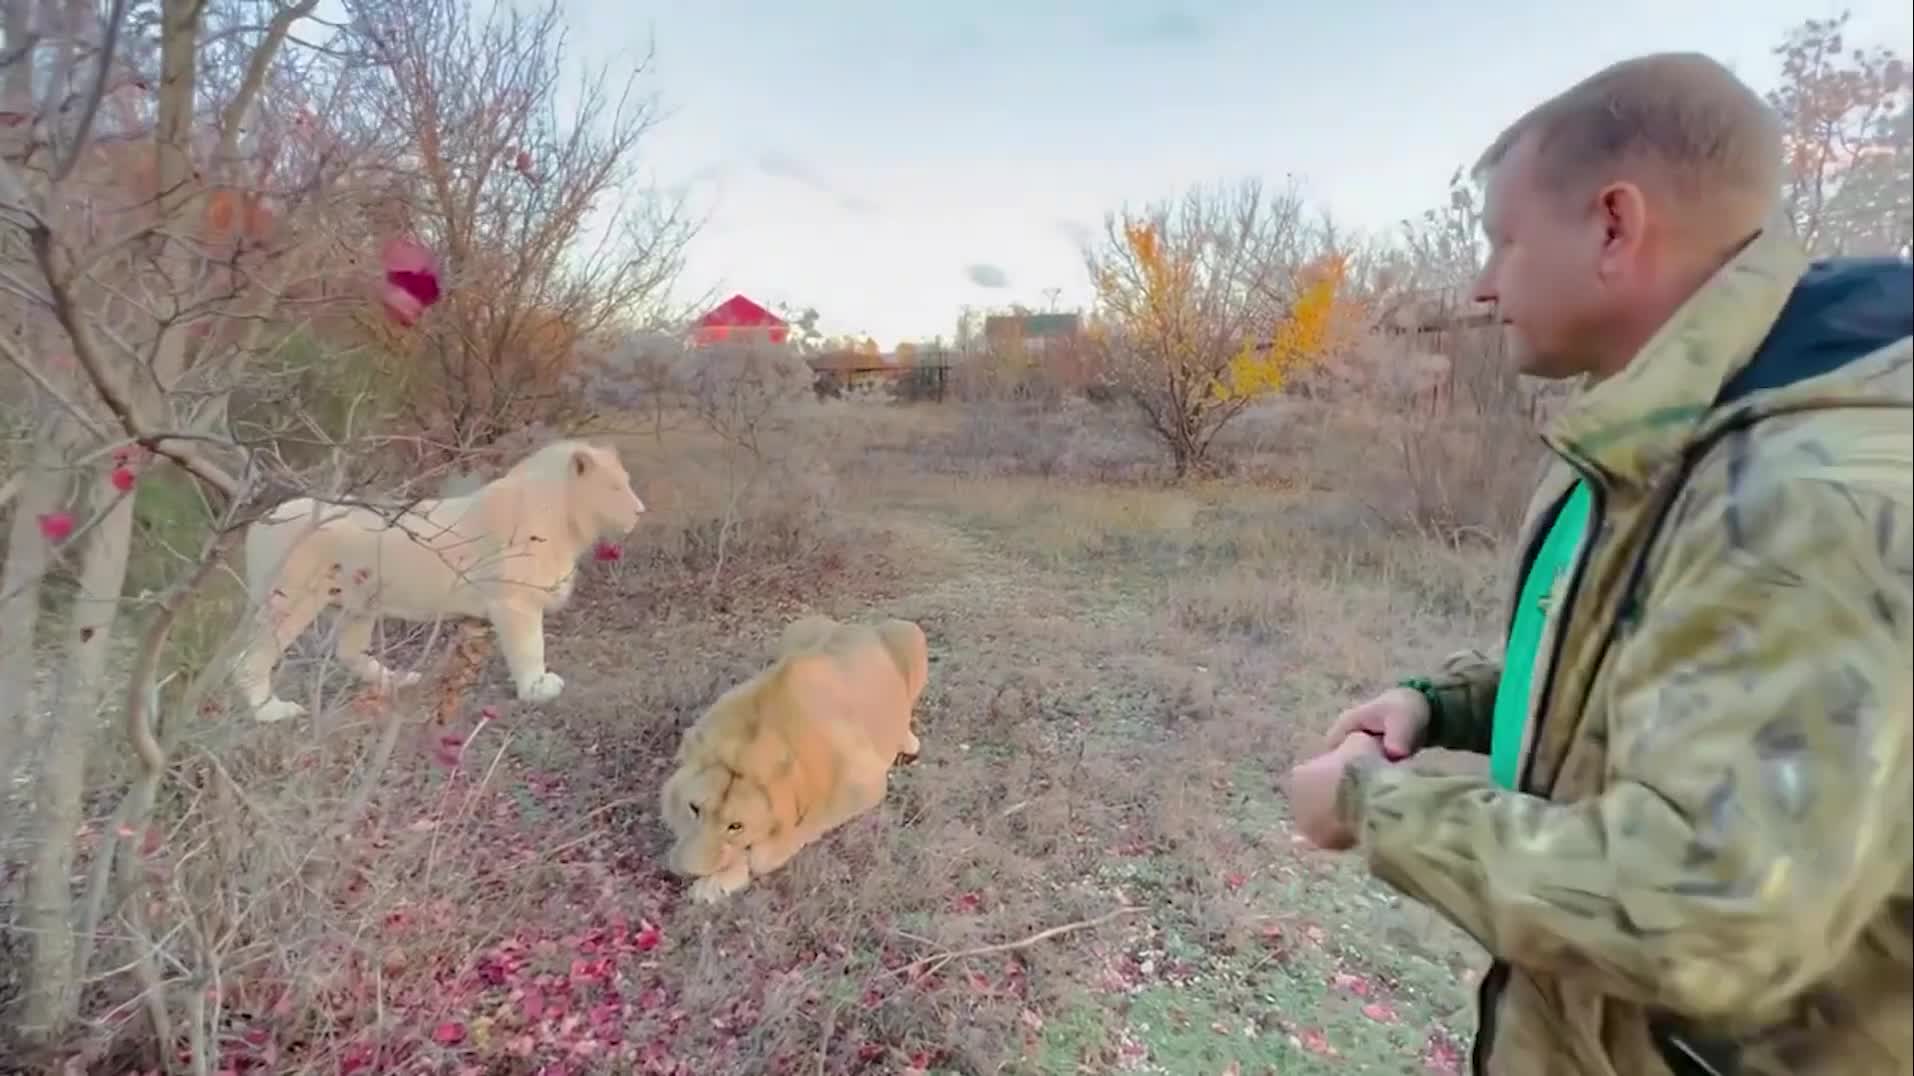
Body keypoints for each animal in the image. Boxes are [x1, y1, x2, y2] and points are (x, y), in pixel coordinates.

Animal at [227, 436, 646, 719]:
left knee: (348, 652)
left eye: (627, 481)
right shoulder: (514, 603)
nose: (641, 510)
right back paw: (271, 711)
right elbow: (531, 648)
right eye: (615, 486)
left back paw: (398, 680)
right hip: (290, 599)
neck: (566, 523)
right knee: (248, 661)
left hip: (359, 604)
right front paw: (538, 689)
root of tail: (261, 520)